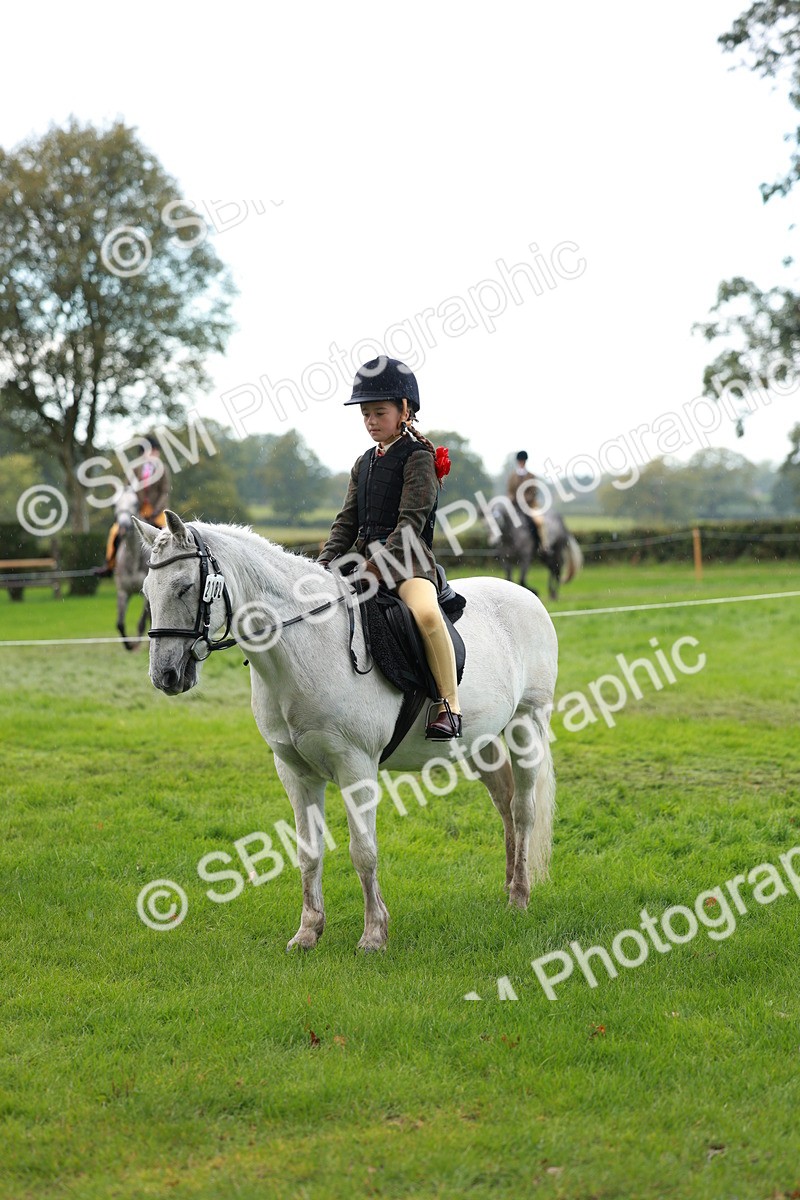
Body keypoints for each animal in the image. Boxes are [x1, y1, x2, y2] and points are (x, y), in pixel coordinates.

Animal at [135, 511, 558, 952]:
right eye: (147, 591)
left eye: (185, 588)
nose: (165, 676)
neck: (305, 645)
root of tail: (526, 596)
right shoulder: (295, 772)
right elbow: (308, 852)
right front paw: (308, 932)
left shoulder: (356, 767)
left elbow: (363, 851)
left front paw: (374, 935)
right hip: (483, 742)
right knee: (505, 804)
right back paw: (509, 886)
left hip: (527, 725)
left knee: (523, 810)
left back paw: (520, 898)